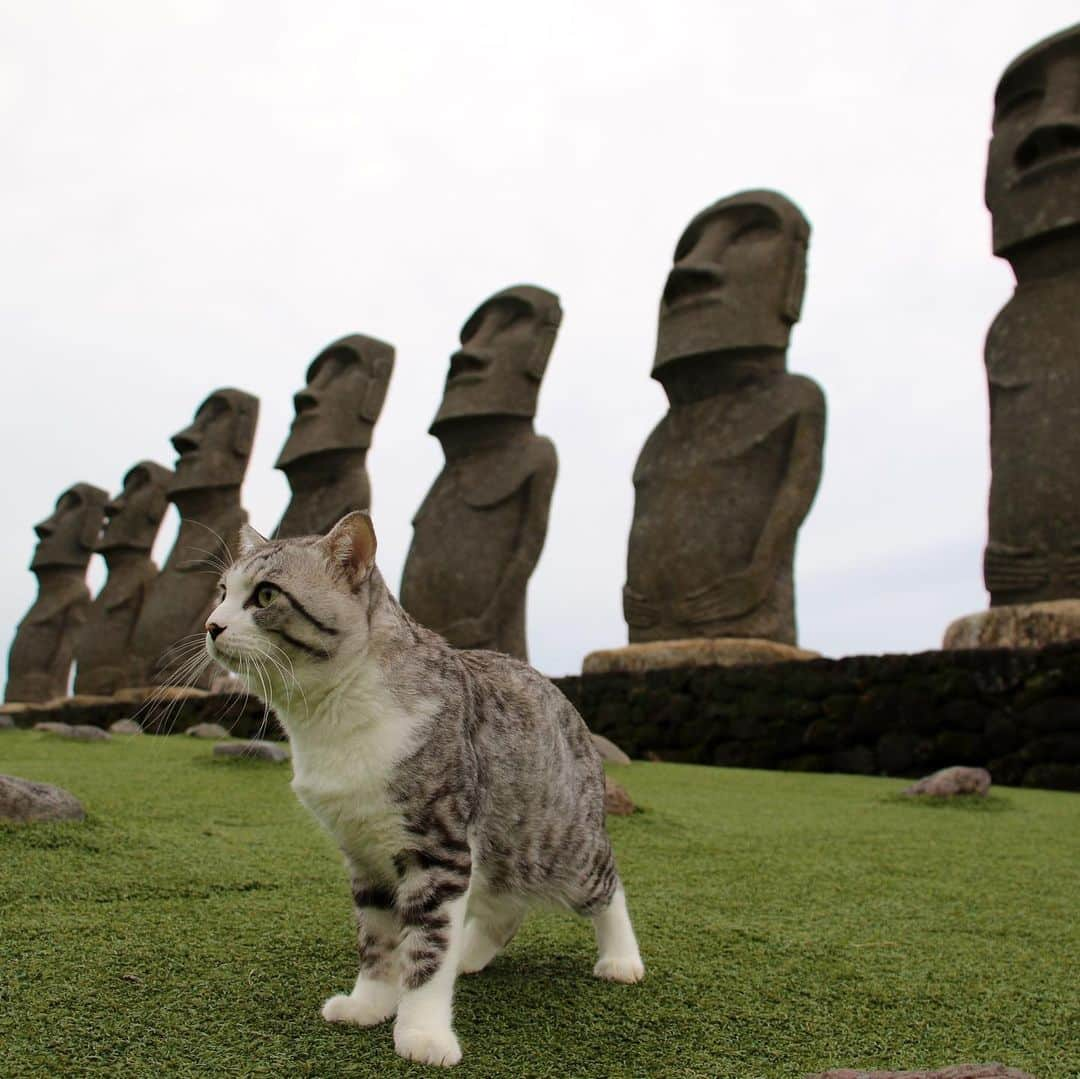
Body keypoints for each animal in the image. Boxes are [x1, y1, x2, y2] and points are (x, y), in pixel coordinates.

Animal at [203, 511, 639, 1062]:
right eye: (222, 592)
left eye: (264, 595)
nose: (211, 625)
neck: (329, 716)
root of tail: (563, 698)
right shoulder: (365, 854)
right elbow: (377, 943)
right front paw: (367, 1004)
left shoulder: (438, 850)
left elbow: (425, 951)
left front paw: (422, 1033)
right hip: (502, 847)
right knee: (504, 906)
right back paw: (469, 956)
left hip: (558, 845)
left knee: (606, 884)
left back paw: (621, 959)